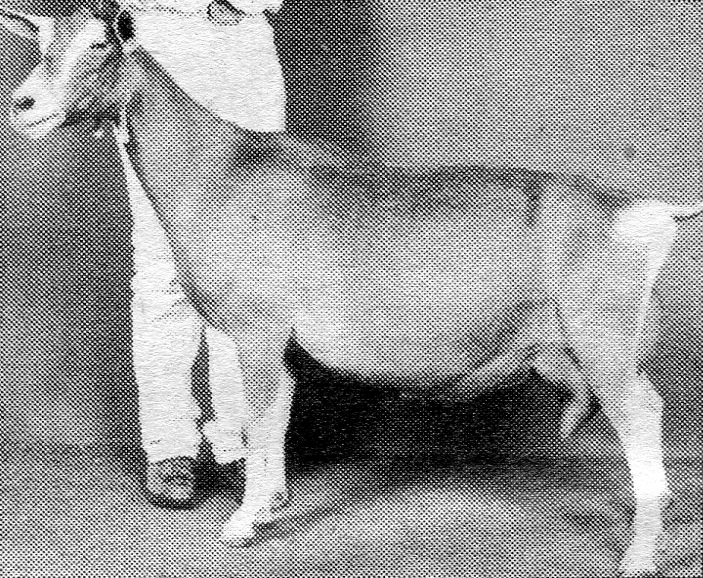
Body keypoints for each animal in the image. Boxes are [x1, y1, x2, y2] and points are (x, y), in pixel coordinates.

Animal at [2, 3, 700, 575]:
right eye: (41, 41)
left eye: (98, 44)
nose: (26, 105)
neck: (224, 170)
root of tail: (640, 209)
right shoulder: (263, 337)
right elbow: (278, 410)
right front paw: (264, 507)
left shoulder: (258, 327)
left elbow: (262, 415)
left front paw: (241, 523)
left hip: (605, 342)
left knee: (644, 417)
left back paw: (640, 554)